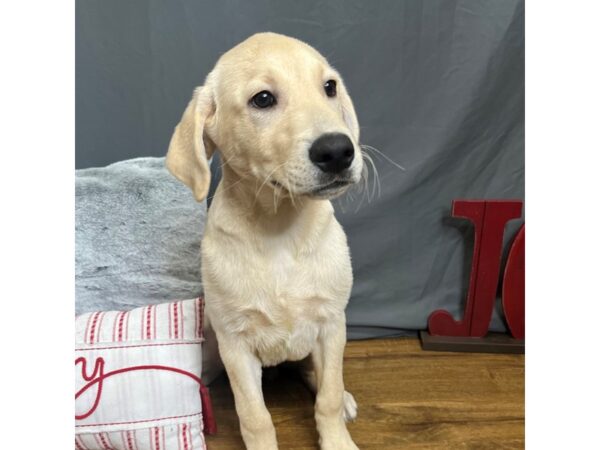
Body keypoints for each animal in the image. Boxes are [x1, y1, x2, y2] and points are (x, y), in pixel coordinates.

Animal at [164, 32, 360, 450]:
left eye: (329, 87)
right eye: (263, 99)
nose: (338, 150)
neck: (279, 228)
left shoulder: (332, 323)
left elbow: (329, 397)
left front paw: (337, 438)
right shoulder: (235, 342)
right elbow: (254, 416)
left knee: (321, 377)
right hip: (211, 346)